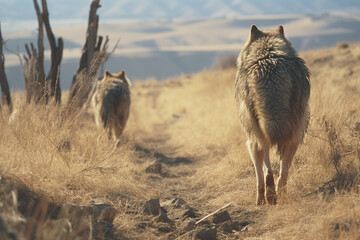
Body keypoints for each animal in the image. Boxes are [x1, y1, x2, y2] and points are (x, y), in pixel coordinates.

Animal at [235, 24, 310, 204]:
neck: (267, 53)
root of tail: (270, 71)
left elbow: (261, 171)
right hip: (294, 137)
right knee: (282, 172)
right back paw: (278, 195)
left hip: (253, 139)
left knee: (264, 169)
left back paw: (264, 198)